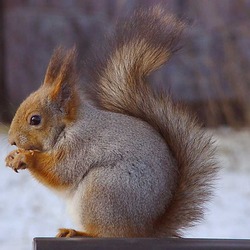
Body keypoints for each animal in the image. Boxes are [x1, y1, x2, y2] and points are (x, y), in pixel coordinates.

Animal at [4, 5, 218, 236]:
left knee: (106, 233)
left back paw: (77, 232)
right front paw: (12, 156)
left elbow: (60, 173)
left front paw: (25, 157)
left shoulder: (79, 146)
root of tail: (145, 229)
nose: (11, 141)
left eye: (35, 119)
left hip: (102, 189)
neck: (68, 127)